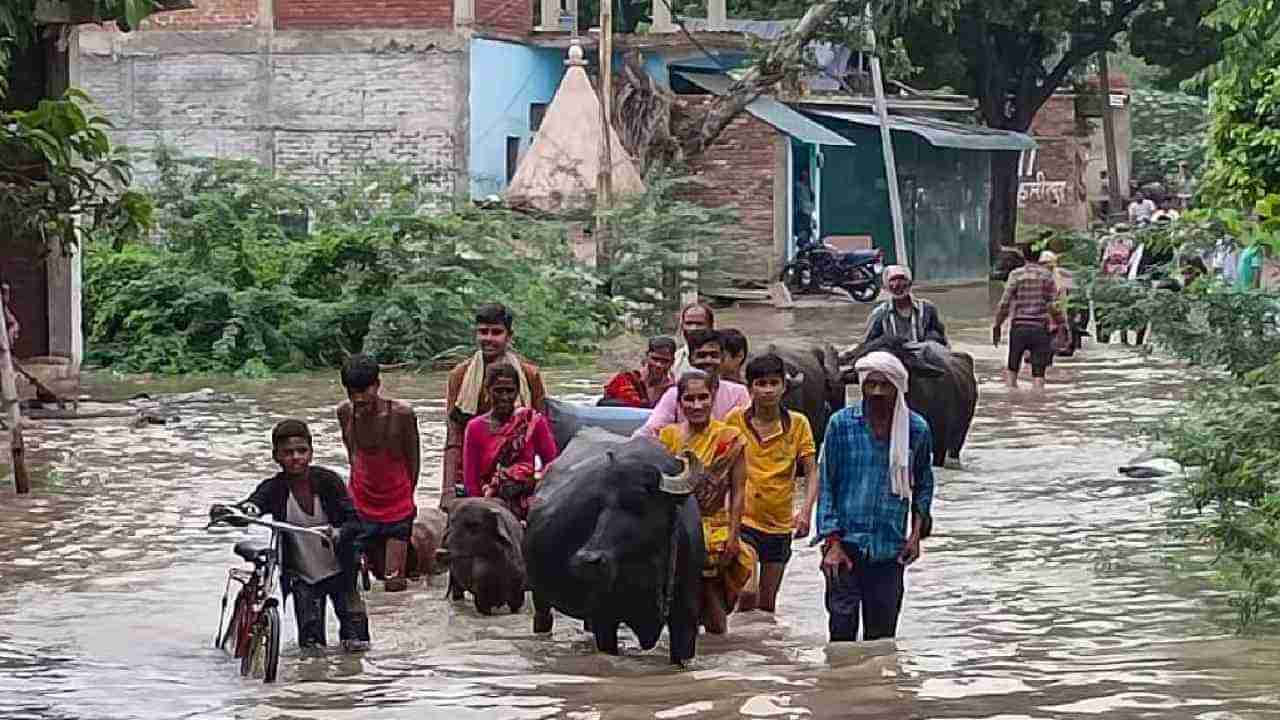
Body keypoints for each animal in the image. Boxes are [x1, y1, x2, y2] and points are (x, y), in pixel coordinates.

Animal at [522, 430, 711, 661]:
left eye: (639, 500)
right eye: (599, 502)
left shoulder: (686, 618)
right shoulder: (604, 618)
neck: (646, 567)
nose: (588, 559)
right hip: (540, 596)